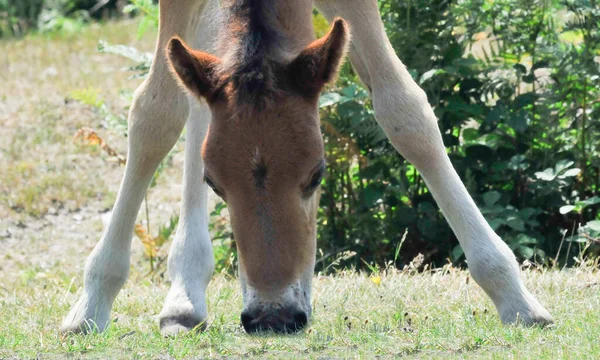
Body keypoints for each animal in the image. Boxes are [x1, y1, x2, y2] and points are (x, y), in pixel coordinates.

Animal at [61, 0, 552, 334]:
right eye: (214, 184)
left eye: (317, 175)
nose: (273, 316)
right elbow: (154, 115)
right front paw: (93, 299)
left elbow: (405, 110)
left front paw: (513, 295)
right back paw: (185, 292)